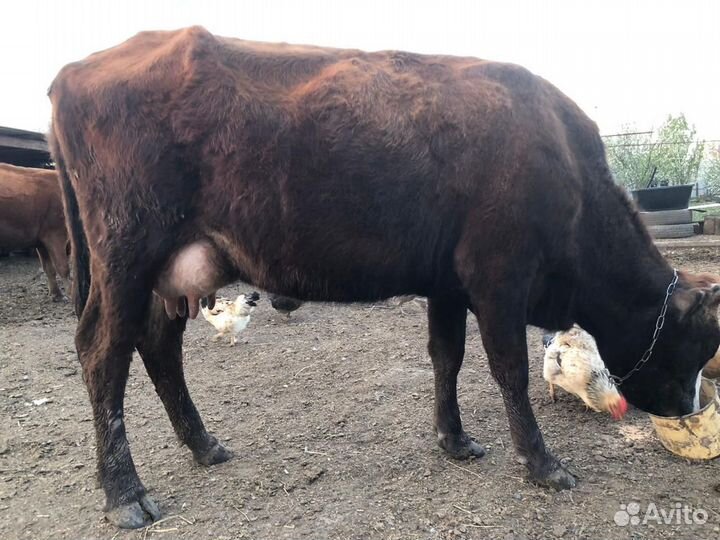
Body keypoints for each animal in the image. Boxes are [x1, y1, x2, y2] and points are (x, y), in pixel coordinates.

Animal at [48, 27, 720, 528]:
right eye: (695, 345)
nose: (689, 409)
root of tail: (77, 69)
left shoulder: (449, 283)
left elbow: (447, 357)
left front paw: (455, 440)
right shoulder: (499, 276)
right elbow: (511, 370)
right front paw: (541, 462)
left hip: (171, 271)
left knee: (158, 348)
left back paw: (203, 445)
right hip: (125, 258)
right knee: (103, 355)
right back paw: (125, 494)